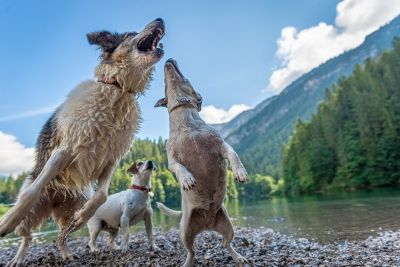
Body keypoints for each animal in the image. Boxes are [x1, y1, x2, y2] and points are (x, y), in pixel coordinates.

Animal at [0, 17, 164, 266]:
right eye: (129, 34)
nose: (160, 19)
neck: (117, 88)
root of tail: (56, 199)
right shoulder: (64, 150)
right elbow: (32, 192)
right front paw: (7, 221)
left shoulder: (111, 160)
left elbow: (101, 196)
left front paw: (82, 216)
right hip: (34, 214)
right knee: (27, 235)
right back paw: (18, 257)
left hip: (76, 201)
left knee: (62, 234)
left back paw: (68, 251)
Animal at [155, 59, 248, 267]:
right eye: (164, 84)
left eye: (187, 78)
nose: (169, 60)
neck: (186, 122)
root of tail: (207, 225)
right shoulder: (172, 160)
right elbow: (179, 168)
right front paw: (187, 179)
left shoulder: (221, 146)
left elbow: (234, 155)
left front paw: (240, 172)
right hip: (184, 233)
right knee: (192, 252)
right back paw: (187, 263)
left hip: (228, 226)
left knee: (226, 243)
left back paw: (238, 256)